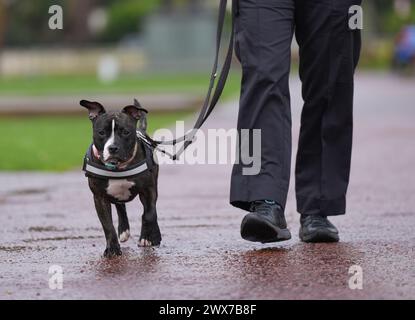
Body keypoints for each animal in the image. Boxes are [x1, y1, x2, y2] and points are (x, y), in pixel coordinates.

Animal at [81, 99, 161, 258]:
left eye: (125, 132)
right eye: (101, 132)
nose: (113, 148)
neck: (118, 166)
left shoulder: (148, 190)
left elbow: (149, 214)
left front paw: (149, 237)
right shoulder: (99, 198)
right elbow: (107, 225)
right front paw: (112, 248)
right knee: (120, 207)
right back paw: (123, 230)